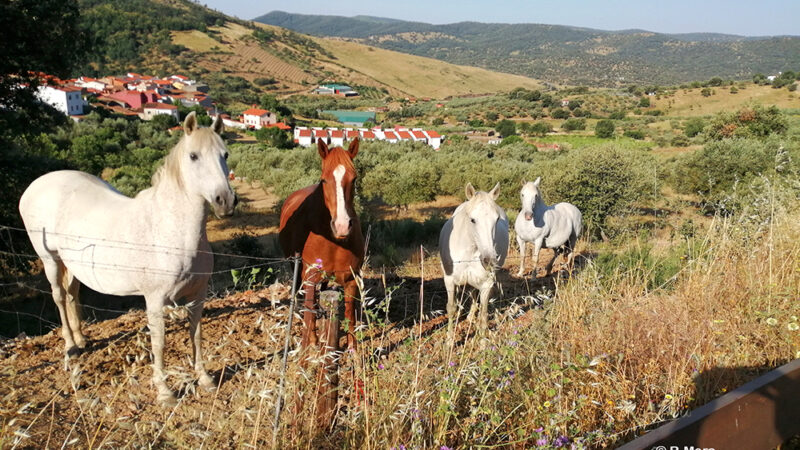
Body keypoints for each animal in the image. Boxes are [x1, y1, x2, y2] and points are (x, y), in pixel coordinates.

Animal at [18, 111, 236, 404]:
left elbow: (197, 334)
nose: (226, 201)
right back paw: (70, 347)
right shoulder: (154, 300)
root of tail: (36, 185)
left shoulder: (197, 296)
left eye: (225, 154)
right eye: (193, 156)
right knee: (60, 297)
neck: (171, 230)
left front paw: (205, 379)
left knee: (72, 293)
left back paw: (81, 339)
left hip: (73, 263)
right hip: (50, 259)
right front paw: (164, 391)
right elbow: (159, 342)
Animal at [276, 139, 360, 350]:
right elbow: (310, 309)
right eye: (324, 180)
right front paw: (312, 342)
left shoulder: (351, 279)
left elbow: (350, 314)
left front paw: (353, 349)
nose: (342, 225)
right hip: (296, 267)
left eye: (354, 179)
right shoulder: (310, 277)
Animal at [440, 183, 510, 344]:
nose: (490, 260)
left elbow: (484, 314)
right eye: (472, 220)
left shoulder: (486, 283)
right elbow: (451, 308)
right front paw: (449, 341)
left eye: (497, 219)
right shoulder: (449, 280)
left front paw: (483, 343)